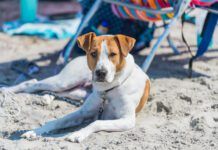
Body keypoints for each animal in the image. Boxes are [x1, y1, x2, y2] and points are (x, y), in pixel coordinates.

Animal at [0, 32, 150, 142]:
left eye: (113, 54)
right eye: (93, 53)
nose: (101, 73)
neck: (108, 90)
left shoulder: (127, 120)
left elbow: (96, 122)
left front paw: (77, 134)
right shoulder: (83, 112)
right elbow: (58, 121)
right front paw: (34, 131)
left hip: (76, 92)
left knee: (46, 89)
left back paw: (45, 98)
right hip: (64, 82)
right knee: (32, 83)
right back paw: (6, 90)